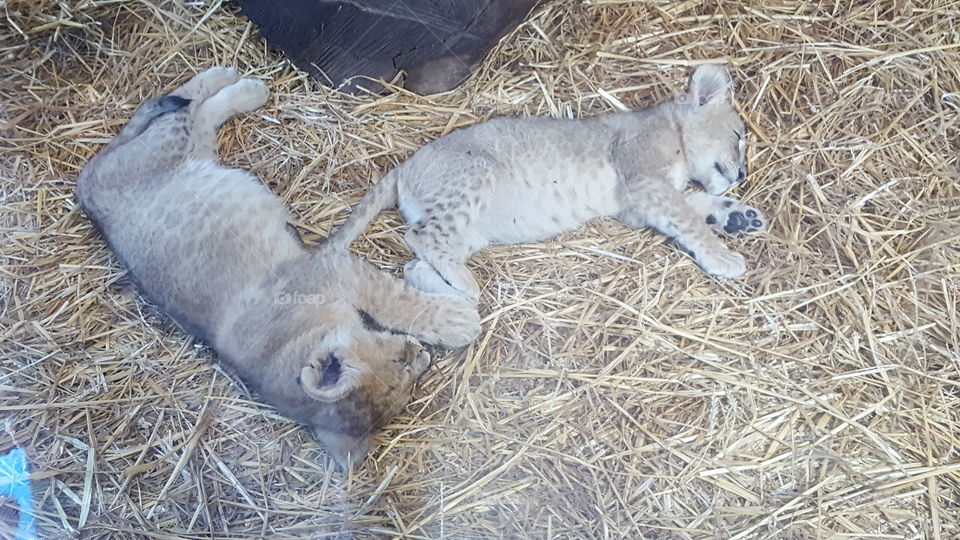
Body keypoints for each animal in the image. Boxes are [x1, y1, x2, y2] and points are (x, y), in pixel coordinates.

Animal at [75, 67, 481, 468]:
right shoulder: (330, 268)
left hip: (180, 151)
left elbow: (388, 299)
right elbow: (392, 300)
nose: (422, 354)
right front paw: (457, 323)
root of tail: (85, 188)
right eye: (404, 368)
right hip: (175, 151)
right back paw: (245, 87)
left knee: (190, 104)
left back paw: (240, 83)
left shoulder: (324, 267)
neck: (295, 339)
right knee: (191, 111)